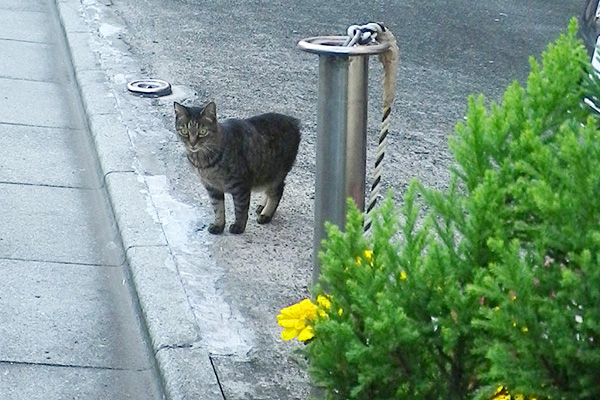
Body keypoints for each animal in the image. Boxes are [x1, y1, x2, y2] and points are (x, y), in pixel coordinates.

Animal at [173, 101, 300, 234]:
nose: (192, 143)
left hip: (275, 174)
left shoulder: (240, 187)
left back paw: (266, 215)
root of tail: (293, 120)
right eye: (184, 131)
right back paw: (262, 206)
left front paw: (238, 227)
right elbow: (218, 209)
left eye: (202, 131)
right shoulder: (212, 188)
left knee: (277, 192)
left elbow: (240, 210)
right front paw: (219, 225)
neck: (202, 161)